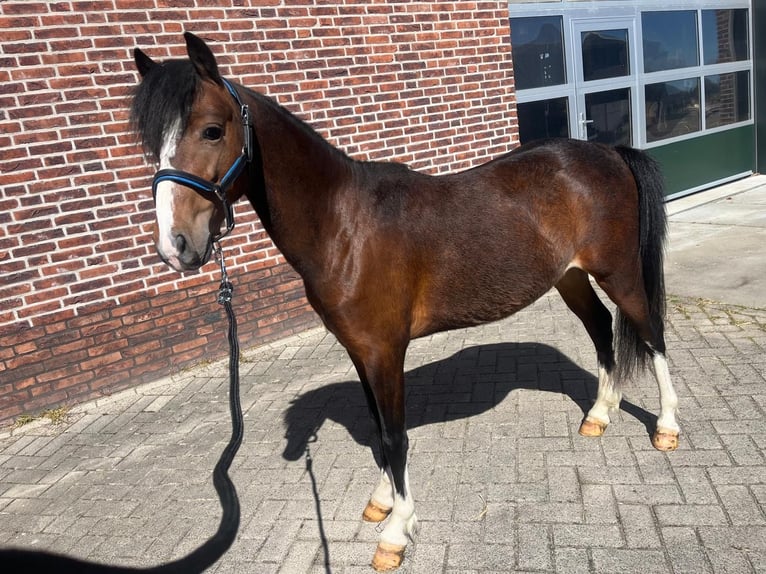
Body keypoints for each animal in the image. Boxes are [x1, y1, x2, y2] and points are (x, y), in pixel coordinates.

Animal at [130, 32, 680, 571]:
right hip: (570, 277)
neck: (343, 225)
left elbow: (395, 437)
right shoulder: (358, 350)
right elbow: (378, 429)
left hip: (619, 274)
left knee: (650, 334)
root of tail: (610, 153)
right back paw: (599, 415)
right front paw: (382, 502)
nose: (175, 246)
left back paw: (667, 427)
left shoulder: (384, 351)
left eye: (212, 131)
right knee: (600, 328)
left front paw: (397, 530)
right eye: (154, 144)